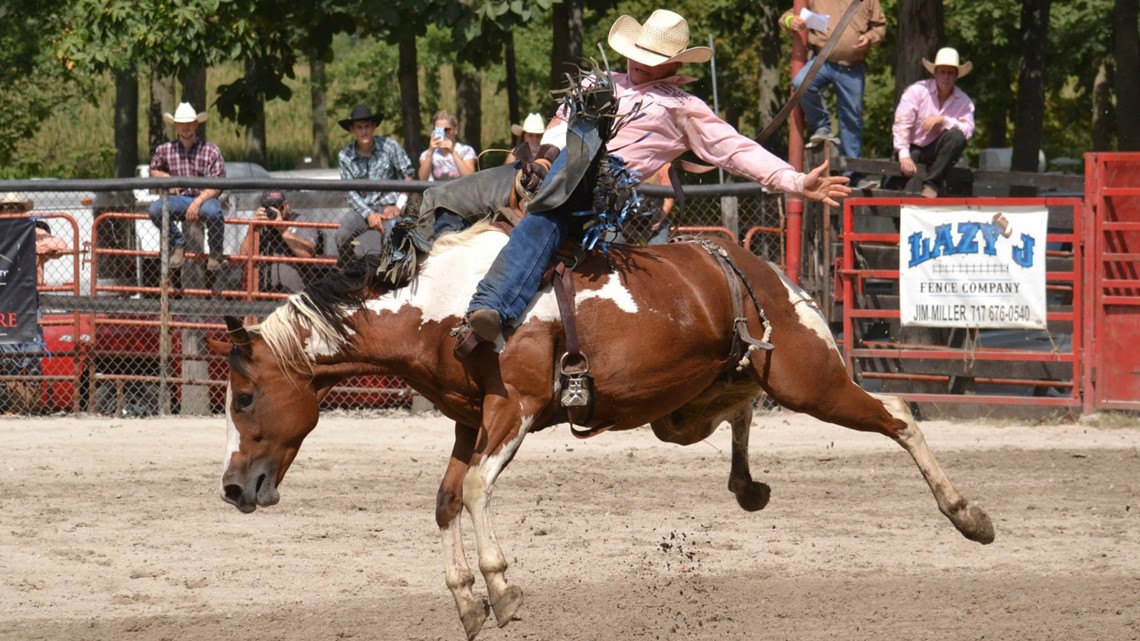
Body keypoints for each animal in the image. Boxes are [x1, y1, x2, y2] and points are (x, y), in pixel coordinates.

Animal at [209, 222, 994, 634]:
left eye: (243, 397)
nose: (234, 488)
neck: (447, 307)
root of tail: (756, 264)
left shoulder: (515, 411)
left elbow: (476, 492)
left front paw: (501, 589)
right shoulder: (469, 422)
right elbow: (447, 498)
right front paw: (465, 598)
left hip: (810, 379)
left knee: (898, 416)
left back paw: (969, 515)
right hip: (691, 405)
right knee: (741, 409)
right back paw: (748, 486)